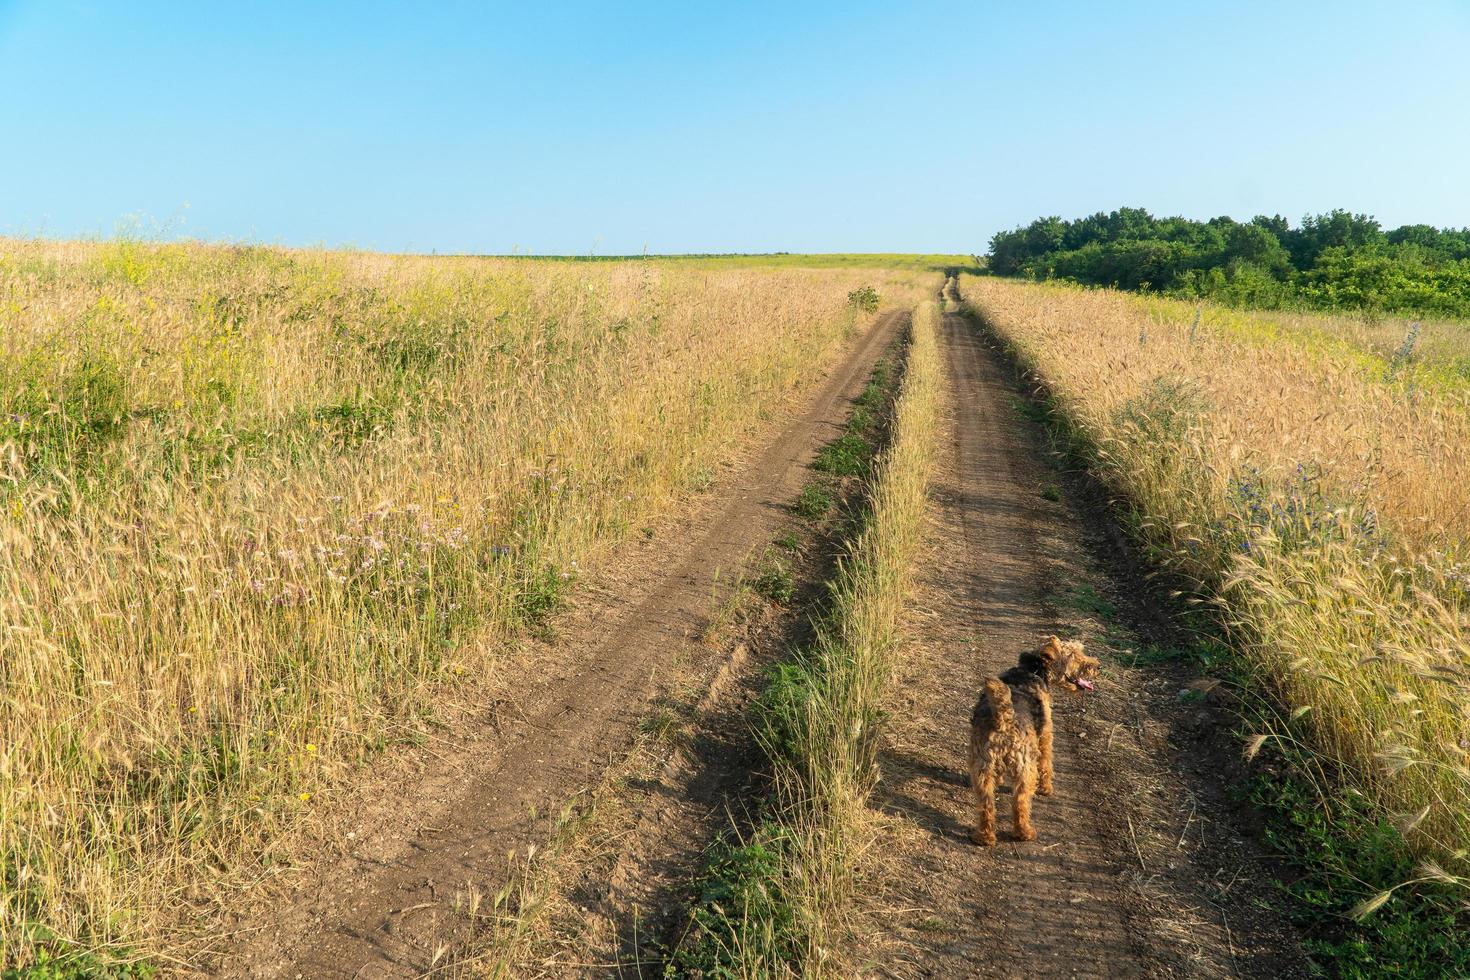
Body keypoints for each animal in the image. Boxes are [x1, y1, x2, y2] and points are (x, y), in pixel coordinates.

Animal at [970, 637, 1099, 846]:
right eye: (1073, 655)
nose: (1097, 666)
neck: (1032, 670)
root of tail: (1005, 718)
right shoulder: (1045, 736)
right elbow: (1046, 764)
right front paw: (1046, 788)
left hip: (982, 767)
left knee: (986, 805)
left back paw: (984, 836)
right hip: (1025, 768)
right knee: (1020, 802)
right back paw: (1025, 832)